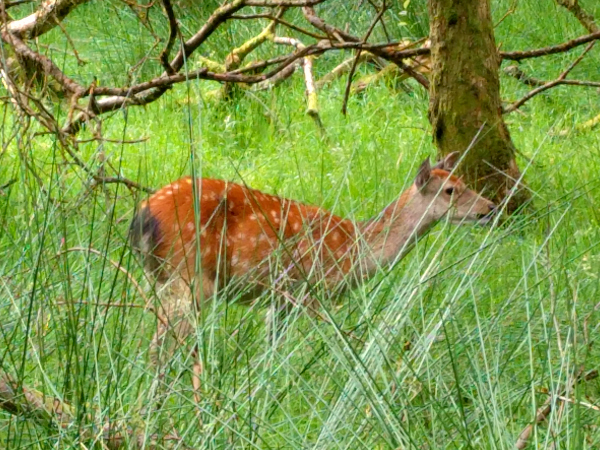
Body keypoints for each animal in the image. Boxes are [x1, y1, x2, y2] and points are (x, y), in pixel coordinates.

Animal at [130, 151, 496, 366]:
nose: (490, 208)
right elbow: (329, 344)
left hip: (163, 279)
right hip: (190, 276)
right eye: (450, 190)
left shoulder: (280, 299)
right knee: (159, 346)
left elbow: (272, 351)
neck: (354, 250)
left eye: (463, 181)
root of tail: (143, 216)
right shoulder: (313, 292)